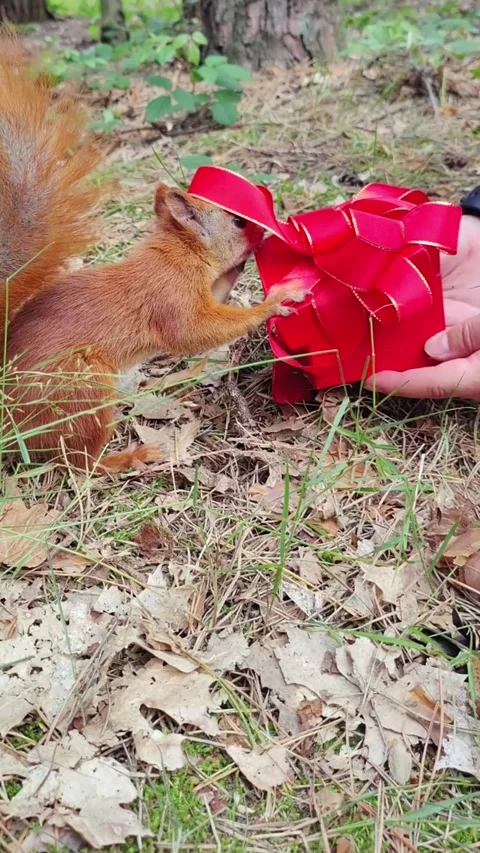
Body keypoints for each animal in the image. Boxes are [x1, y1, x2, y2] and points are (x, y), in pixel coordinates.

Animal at [1, 34, 307, 473]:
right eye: (238, 221)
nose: (265, 230)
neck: (180, 253)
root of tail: (9, 415)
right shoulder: (170, 295)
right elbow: (194, 333)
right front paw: (275, 302)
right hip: (83, 389)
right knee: (80, 463)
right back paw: (131, 456)